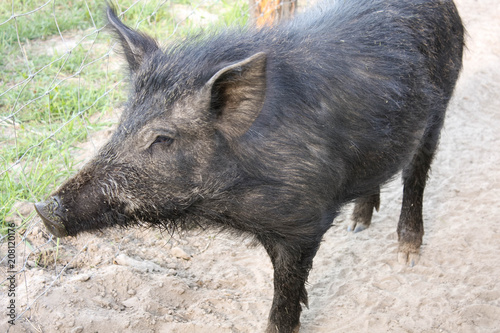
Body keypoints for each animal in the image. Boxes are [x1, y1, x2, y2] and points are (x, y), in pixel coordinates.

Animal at [35, 0, 464, 330]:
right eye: (122, 123)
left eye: (162, 139)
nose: (43, 208)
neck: (232, 205)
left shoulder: (303, 222)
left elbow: (286, 287)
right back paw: (358, 225)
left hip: (441, 102)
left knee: (416, 172)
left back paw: (407, 253)